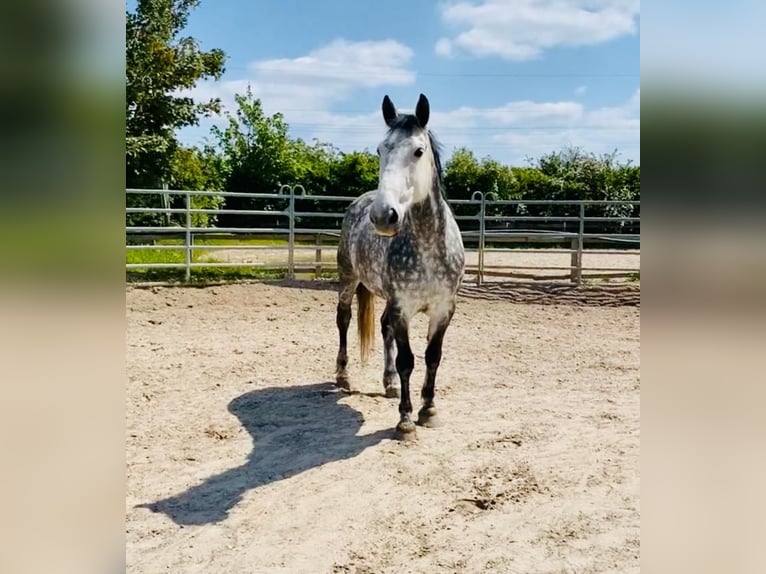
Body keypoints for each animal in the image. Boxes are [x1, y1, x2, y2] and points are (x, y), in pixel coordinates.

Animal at [336, 94, 468, 444]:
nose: (384, 215)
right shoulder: (403, 308)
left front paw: (429, 410)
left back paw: (390, 383)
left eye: (418, 151)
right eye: (380, 150)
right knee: (343, 320)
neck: (429, 246)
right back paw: (342, 375)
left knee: (383, 328)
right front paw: (406, 421)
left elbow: (432, 356)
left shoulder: (443, 309)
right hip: (348, 278)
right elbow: (407, 359)